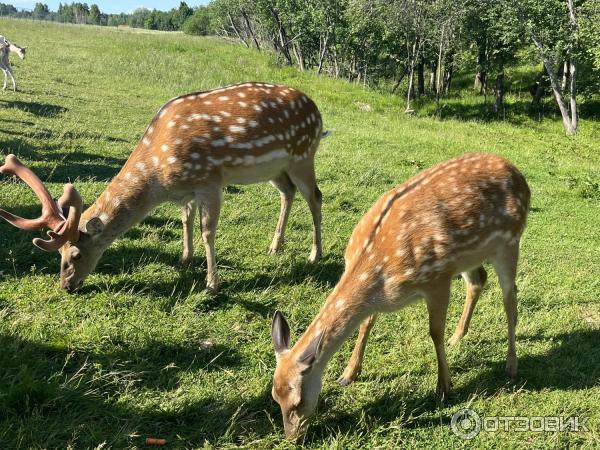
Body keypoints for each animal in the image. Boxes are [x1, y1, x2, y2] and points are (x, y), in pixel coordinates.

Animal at [0, 82, 326, 294]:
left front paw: (212, 283)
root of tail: (317, 111)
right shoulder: (187, 190)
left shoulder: (210, 179)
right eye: (59, 255)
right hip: (276, 169)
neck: (159, 176)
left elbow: (208, 231)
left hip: (303, 154)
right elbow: (186, 220)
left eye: (76, 255)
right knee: (287, 192)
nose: (66, 286)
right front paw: (185, 259)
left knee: (316, 197)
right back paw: (275, 246)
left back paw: (315, 255)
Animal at [270, 153, 528, 438]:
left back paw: (511, 366)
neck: (379, 275)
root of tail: (518, 173)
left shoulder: (437, 278)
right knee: (478, 280)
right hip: (469, 256)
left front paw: (444, 387)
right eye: (274, 396)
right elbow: (366, 324)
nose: (292, 436)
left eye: (298, 401)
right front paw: (348, 374)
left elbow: (434, 333)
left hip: (509, 241)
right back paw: (458, 337)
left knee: (510, 299)